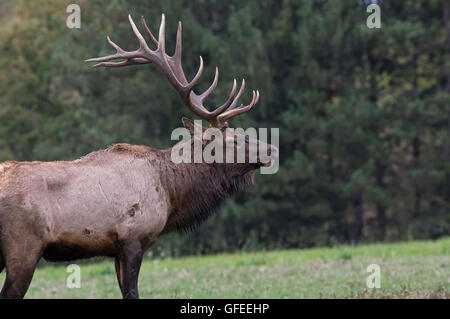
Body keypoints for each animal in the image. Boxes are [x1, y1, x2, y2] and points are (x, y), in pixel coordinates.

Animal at [0, 13, 278, 300]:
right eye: (233, 139)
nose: (271, 149)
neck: (171, 193)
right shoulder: (132, 238)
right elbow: (132, 292)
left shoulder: (116, 249)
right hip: (24, 247)